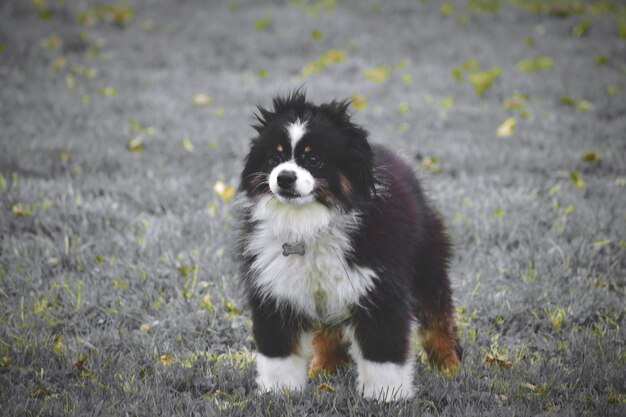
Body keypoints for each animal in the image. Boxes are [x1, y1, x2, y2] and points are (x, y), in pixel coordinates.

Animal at [234, 92, 458, 400]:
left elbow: (382, 351)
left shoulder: (378, 287)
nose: (284, 177)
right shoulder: (276, 289)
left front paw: (385, 396)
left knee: (438, 317)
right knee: (329, 331)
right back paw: (325, 369)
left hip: (427, 262)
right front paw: (280, 393)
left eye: (313, 159)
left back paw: (450, 366)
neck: (310, 224)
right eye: (275, 157)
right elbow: (278, 353)